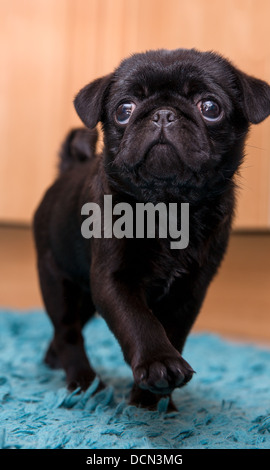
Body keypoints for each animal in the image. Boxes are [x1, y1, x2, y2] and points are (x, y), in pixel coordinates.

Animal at [34, 46, 270, 408]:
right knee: (68, 332)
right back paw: (84, 384)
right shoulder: (114, 280)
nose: (162, 114)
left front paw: (150, 403)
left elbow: (171, 331)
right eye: (124, 110)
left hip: (85, 294)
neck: (168, 207)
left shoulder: (188, 292)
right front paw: (159, 364)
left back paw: (55, 363)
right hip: (59, 282)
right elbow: (139, 322)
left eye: (210, 108)